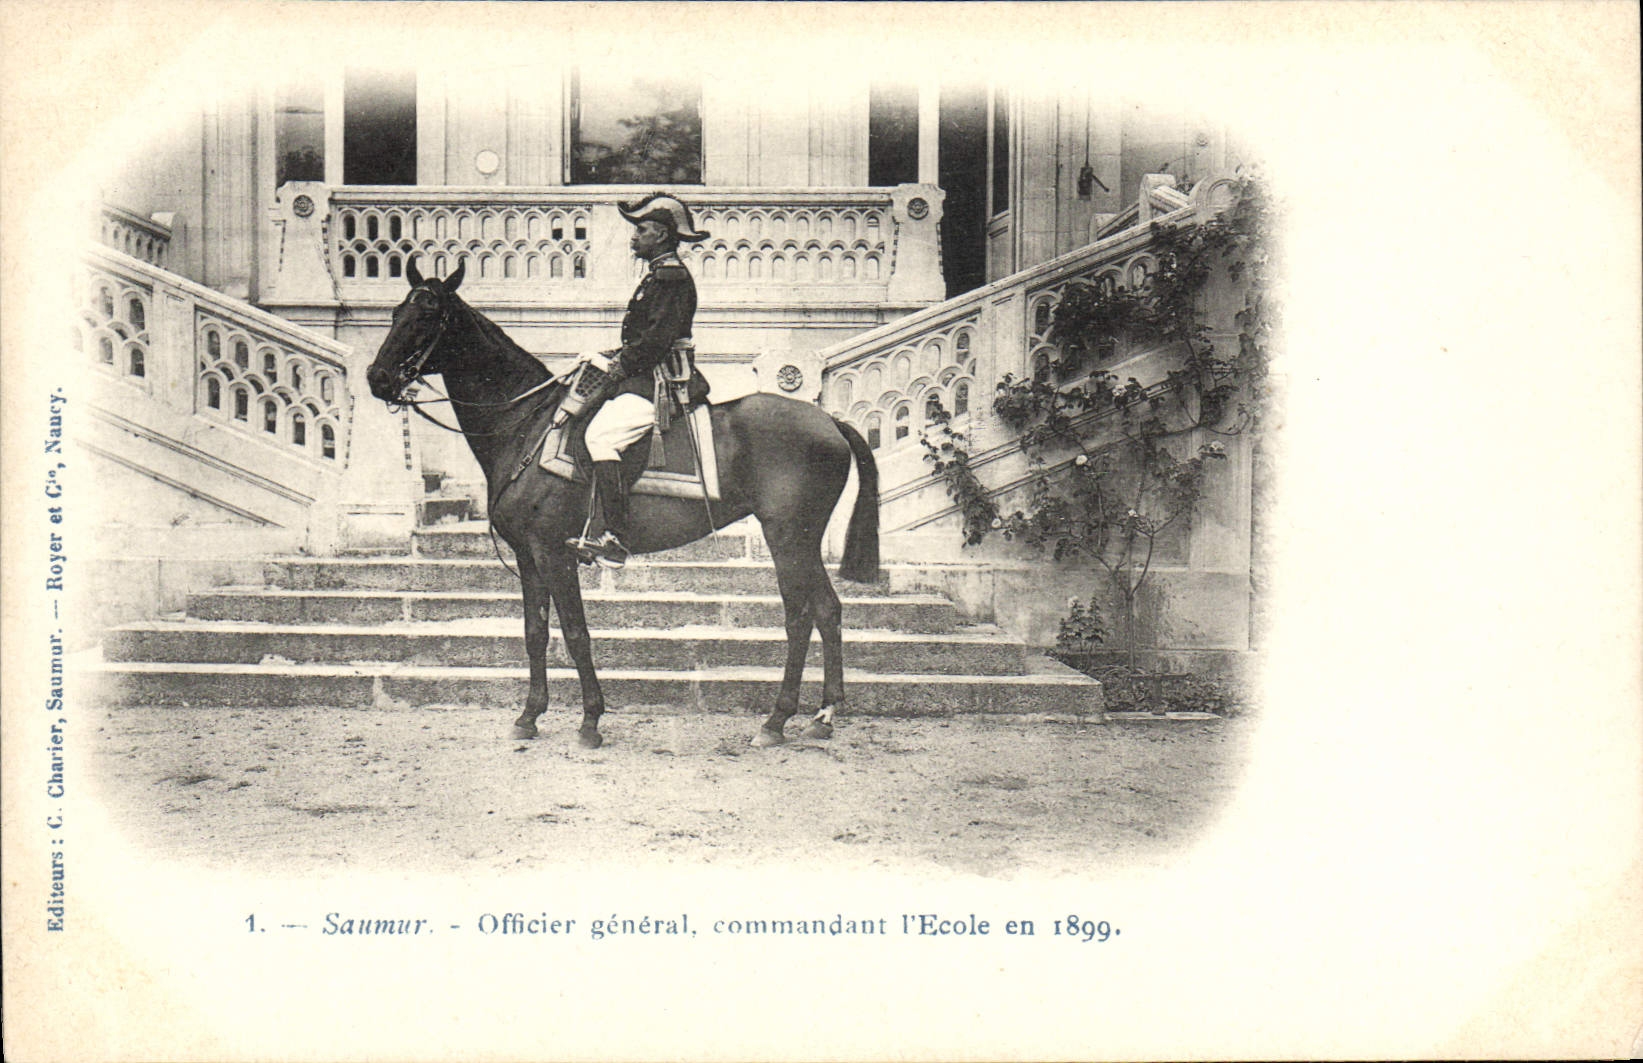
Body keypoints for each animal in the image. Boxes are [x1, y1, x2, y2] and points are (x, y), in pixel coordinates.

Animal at [365, 261, 880, 749]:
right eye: (395, 313)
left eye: (427, 314)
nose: (377, 378)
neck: (527, 425)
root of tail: (829, 420)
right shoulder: (529, 557)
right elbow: (535, 633)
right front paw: (529, 716)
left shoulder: (553, 553)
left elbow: (575, 634)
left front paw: (590, 720)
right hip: (802, 541)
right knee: (827, 609)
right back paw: (823, 715)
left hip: (787, 537)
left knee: (799, 617)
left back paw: (776, 721)